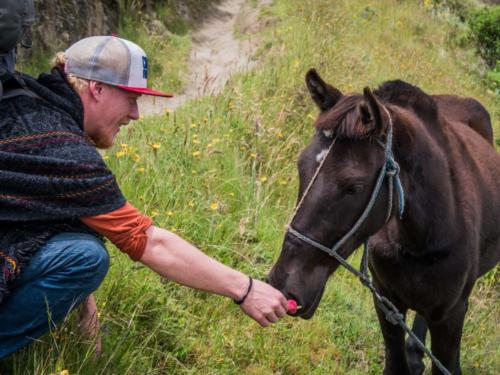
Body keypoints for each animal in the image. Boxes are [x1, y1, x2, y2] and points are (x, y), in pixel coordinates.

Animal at [268, 69, 500, 374]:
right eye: (300, 164)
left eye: (353, 186)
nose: (282, 284)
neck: (421, 237)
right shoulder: (386, 300)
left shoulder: (452, 315)